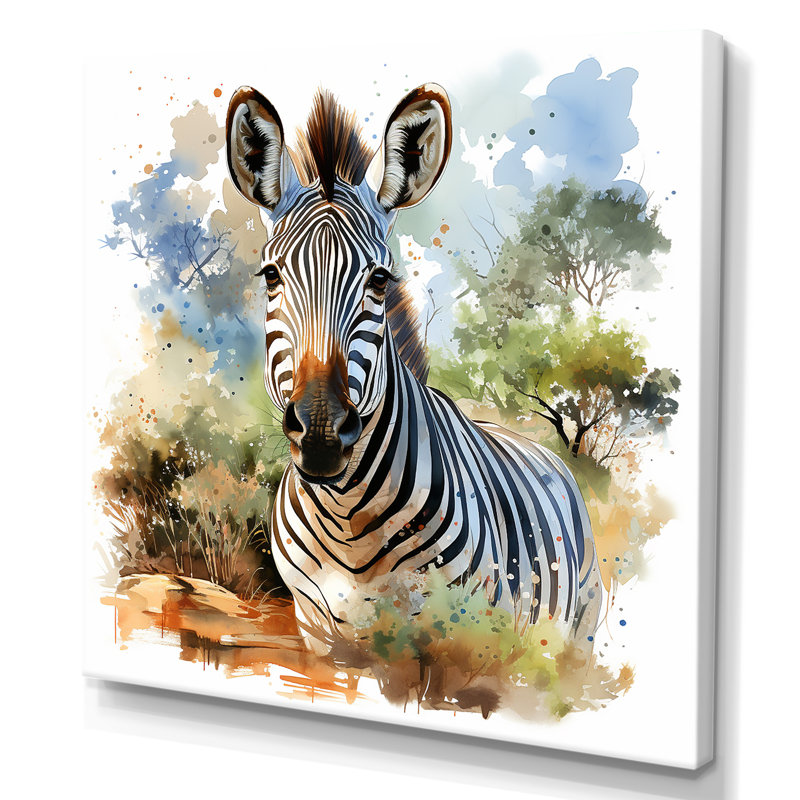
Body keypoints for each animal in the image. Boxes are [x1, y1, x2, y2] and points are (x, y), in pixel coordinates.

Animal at [226, 84, 602, 655]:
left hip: (574, 629)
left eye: (380, 280)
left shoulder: (458, 638)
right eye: (270, 276)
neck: (348, 521)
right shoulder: (318, 633)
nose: (321, 432)